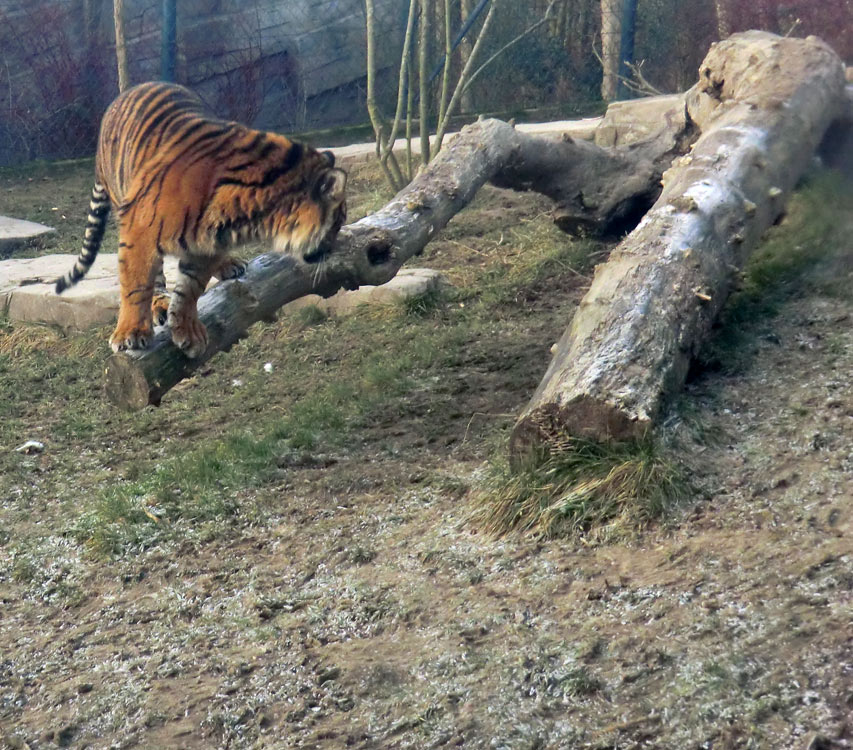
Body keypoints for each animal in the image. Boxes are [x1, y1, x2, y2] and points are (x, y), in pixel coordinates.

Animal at [56, 82, 346, 362]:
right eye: (337, 222)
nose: (334, 250)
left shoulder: (206, 243)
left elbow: (190, 289)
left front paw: (188, 332)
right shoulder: (140, 231)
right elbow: (136, 285)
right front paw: (130, 333)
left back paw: (229, 264)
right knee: (155, 278)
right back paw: (159, 304)